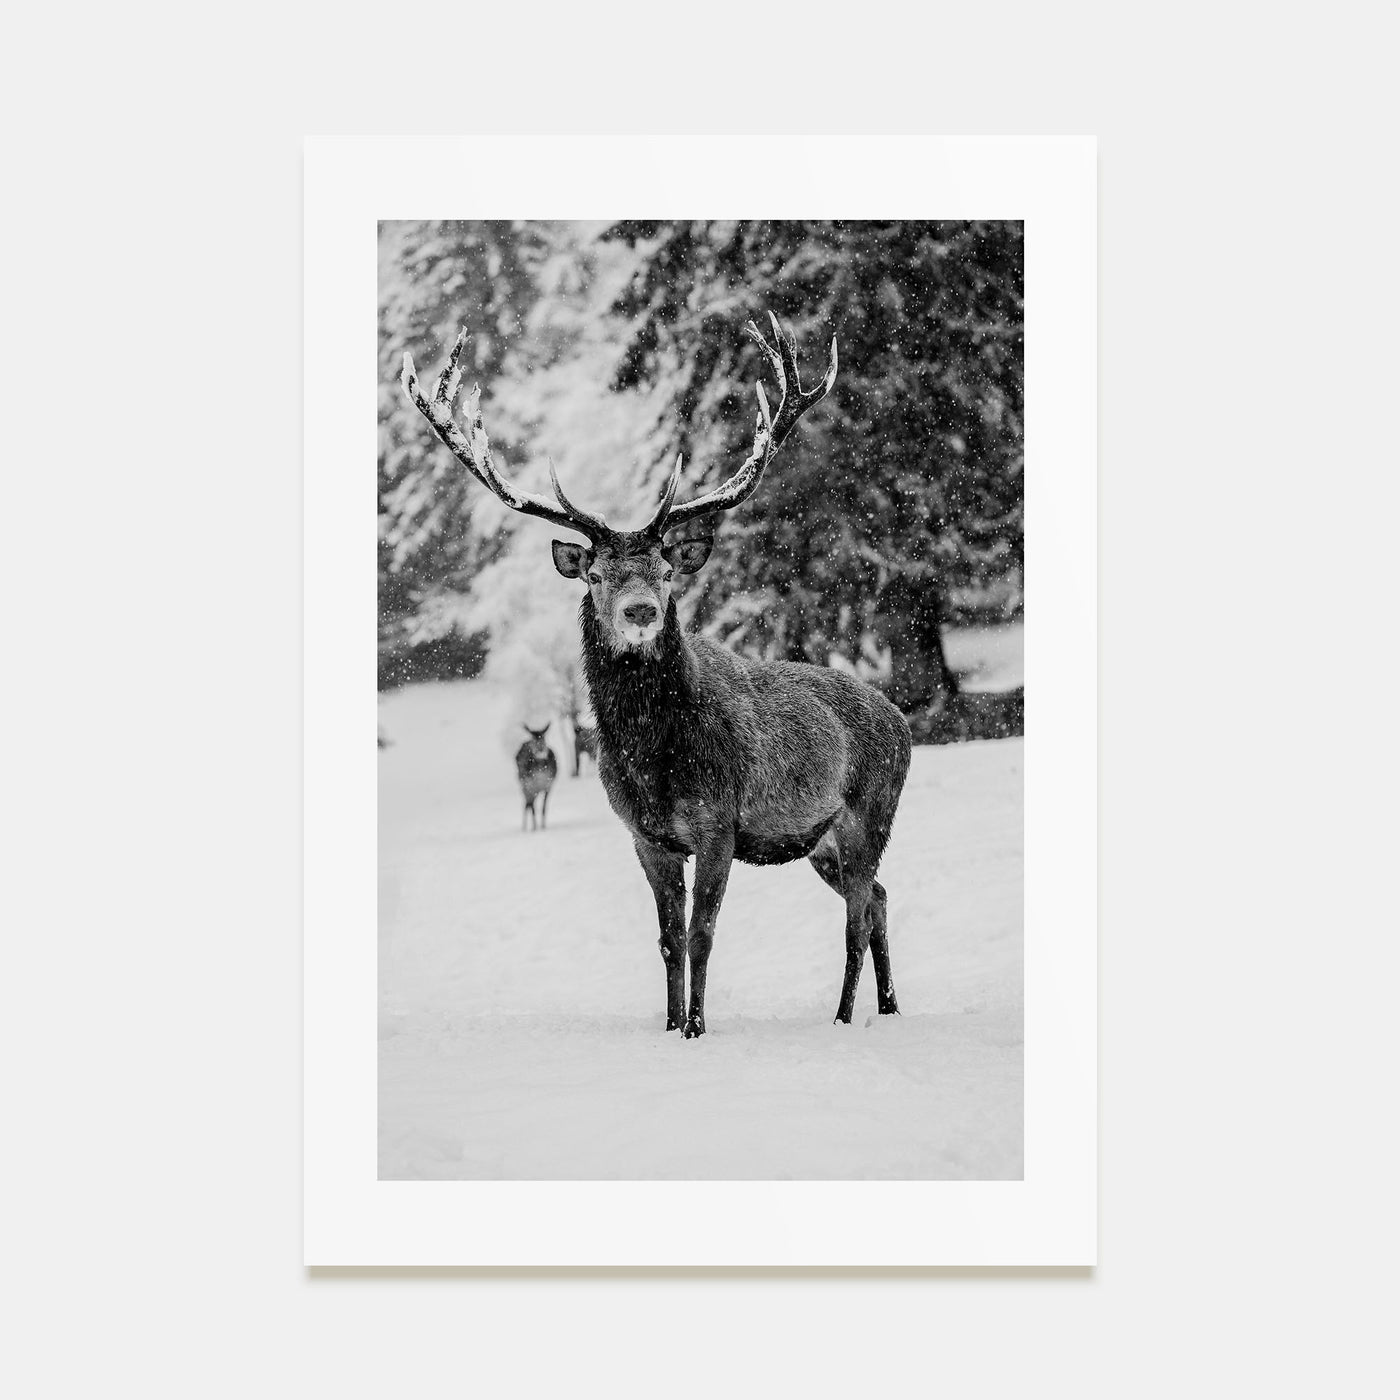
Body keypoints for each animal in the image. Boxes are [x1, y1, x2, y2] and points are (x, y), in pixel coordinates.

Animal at [402, 313, 911, 1036]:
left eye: (667, 571)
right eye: (595, 573)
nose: (640, 609)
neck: (651, 758)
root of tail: (902, 720)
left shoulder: (718, 822)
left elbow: (702, 934)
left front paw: (697, 1027)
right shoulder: (646, 835)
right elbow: (668, 938)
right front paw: (670, 1027)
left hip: (872, 810)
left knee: (857, 915)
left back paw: (843, 1016)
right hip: (820, 840)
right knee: (880, 900)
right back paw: (888, 1006)